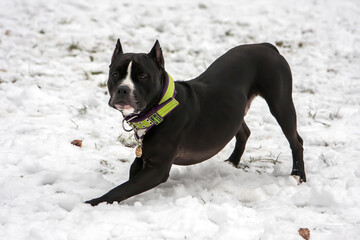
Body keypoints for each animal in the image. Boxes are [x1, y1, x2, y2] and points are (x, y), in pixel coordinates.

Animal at [86, 39, 306, 206]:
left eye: (142, 76)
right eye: (115, 74)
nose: (123, 89)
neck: (160, 108)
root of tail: (266, 46)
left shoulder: (157, 169)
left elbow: (122, 188)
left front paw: (94, 202)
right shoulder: (142, 158)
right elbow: (130, 180)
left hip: (281, 103)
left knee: (296, 141)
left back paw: (298, 176)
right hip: (234, 113)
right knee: (243, 131)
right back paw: (232, 162)